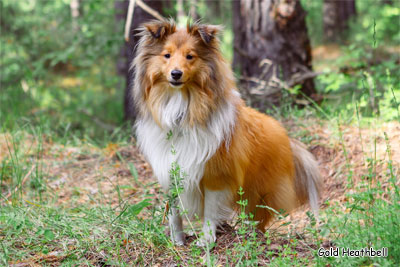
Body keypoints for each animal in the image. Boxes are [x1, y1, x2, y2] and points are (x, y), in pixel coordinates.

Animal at [131, 18, 322, 245]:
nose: (175, 74)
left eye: (190, 56)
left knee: (259, 218)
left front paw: (206, 240)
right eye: (166, 55)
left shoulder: (216, 174)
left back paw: (251, 237)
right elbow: (174, 213)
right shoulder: (170, 170)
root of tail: (287, 138)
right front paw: (177, 241)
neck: (182, 111)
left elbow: (210, 210)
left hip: (259, 191)